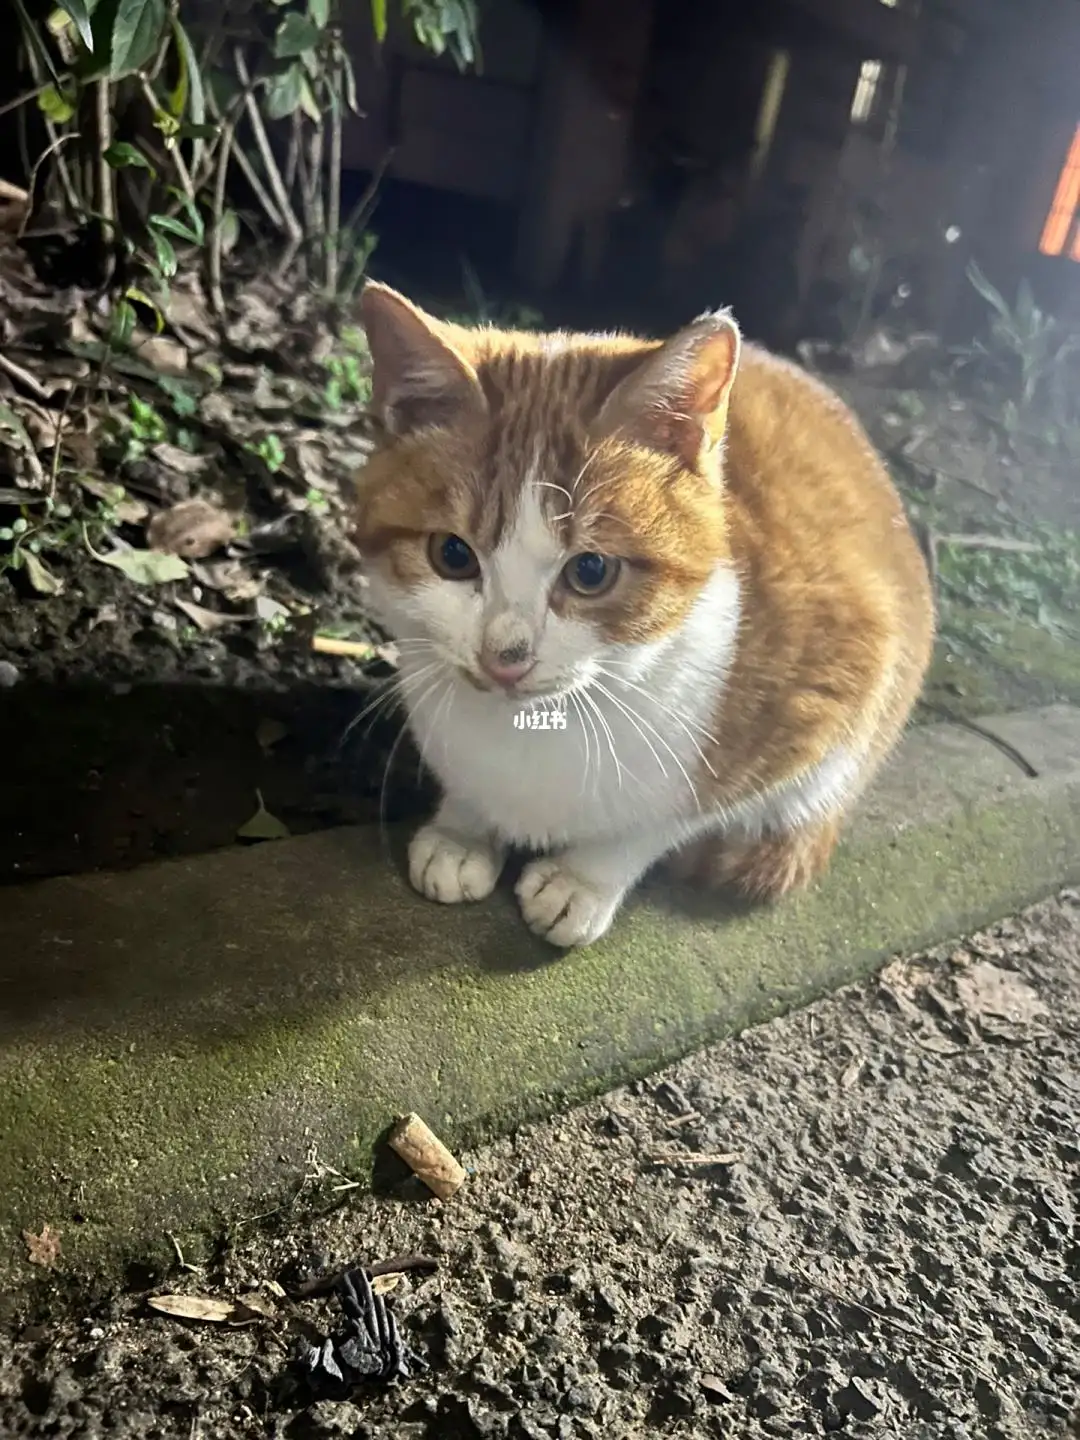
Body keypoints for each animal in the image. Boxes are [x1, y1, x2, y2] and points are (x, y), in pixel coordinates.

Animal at [355, 286, 938, 950]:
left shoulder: (832, 691)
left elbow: (665, 819)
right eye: (452, 555)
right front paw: (462, 829)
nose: (505, 656)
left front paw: (584, 879)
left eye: (590, 571)